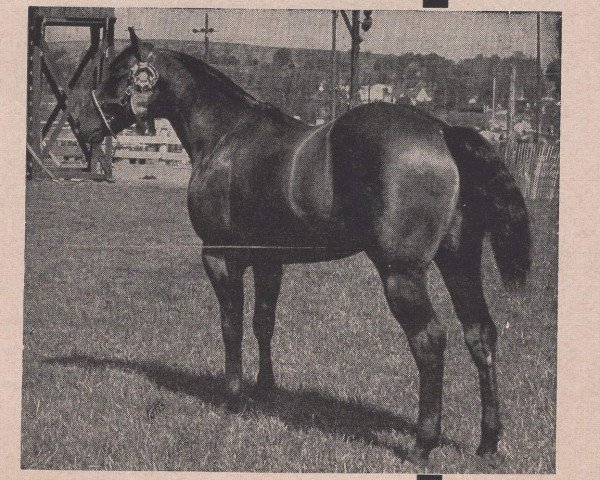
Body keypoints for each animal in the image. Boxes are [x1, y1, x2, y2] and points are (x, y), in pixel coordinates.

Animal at [74, 28, 528, 464]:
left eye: (119, 74)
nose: (80, 125)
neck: (225, 136)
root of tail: (442, 132)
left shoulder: (220, 257)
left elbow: (231, 325)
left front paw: (233, 398)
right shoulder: (268, 262)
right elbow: (263, 321)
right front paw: (265, 390)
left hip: (403, 273)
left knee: (430, 341)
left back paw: (422, 444)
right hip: (459, 262)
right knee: (480, 334)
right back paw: (488, 443)